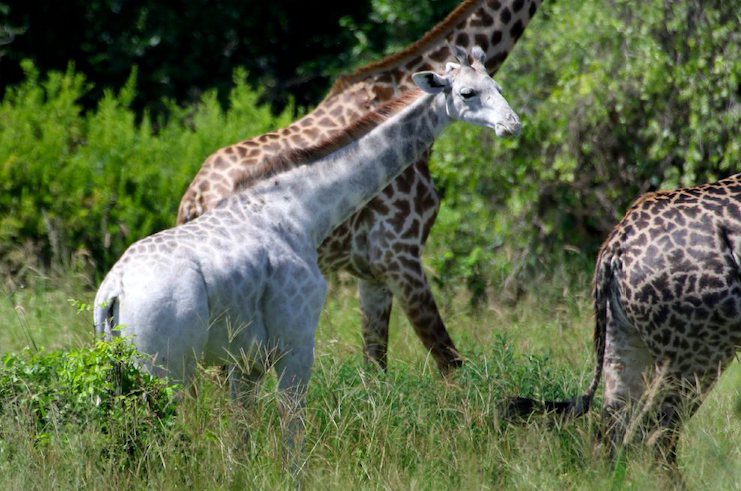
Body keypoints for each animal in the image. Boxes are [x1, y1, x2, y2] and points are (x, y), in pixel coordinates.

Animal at [94, 48, 520, 456]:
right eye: (466, 93)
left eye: (497, 87)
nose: (513, 124)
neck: (302, 209)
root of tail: (112, 291)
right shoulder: (296, 342)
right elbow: (292, 436)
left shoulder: (245, 360)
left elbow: (239, 440)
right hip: (165, 368)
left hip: (122, 371)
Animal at [176, 0, 540, 370]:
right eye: (467, 93)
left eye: (500, 89)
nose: (513, 124)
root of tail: (193, 199)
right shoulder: (399, 254)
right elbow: (448, 360)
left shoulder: (371, 273)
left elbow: (375, 363)